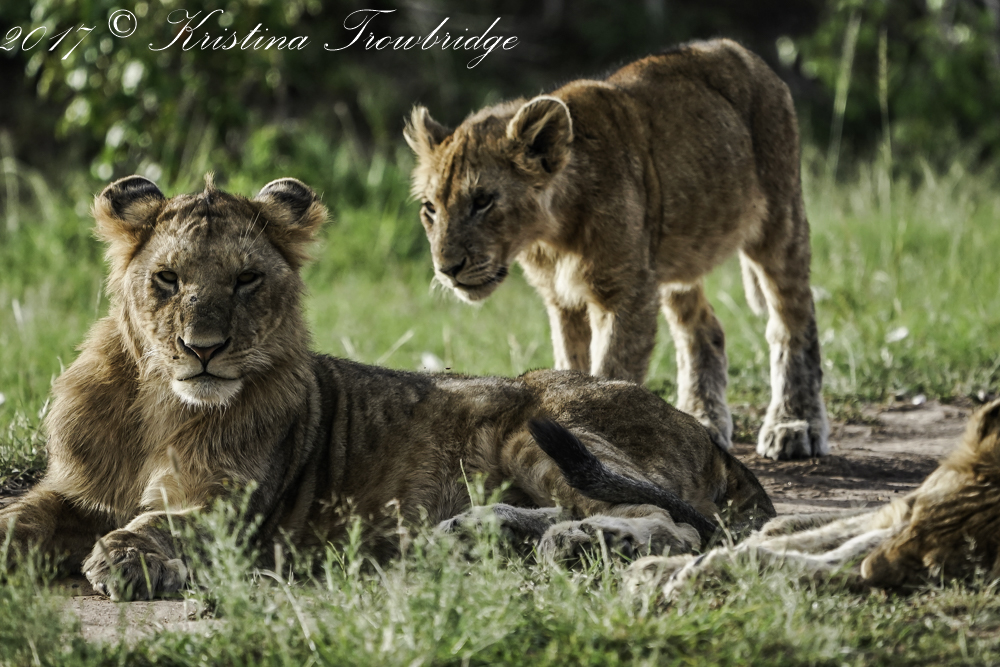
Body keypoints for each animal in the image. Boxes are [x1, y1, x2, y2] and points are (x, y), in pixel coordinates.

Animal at [0, 175, 774, 600]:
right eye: (167, 280)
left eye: (246, 280)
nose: (204, 348)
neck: (160, 406)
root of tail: (706, 433)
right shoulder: (74, 489)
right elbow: (23, 514)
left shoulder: (231, 512)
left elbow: (162, 523)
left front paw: (126, 557)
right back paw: (474, 536)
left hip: (537, 420)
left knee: (673, 525)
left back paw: (572, 544)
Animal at [404, 38, 828, 460]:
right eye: (430, 208)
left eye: (483, 201)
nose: (447, 269)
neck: (552, 235)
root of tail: (741, 50)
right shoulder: (564, 300)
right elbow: (571, 364)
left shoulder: (626, 291)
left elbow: (612, 370)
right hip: (675, 256)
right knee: (703, 330)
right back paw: (703, 420)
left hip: (780, 220)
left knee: (793, 321)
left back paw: (794, 425)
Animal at [624, 398, 1000, 596]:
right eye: (914, 515)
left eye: (935, 565)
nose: (871, 568)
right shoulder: (896, 518)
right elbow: (803, 543)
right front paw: (664, 566)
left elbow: (808, 560)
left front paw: (695, 572)